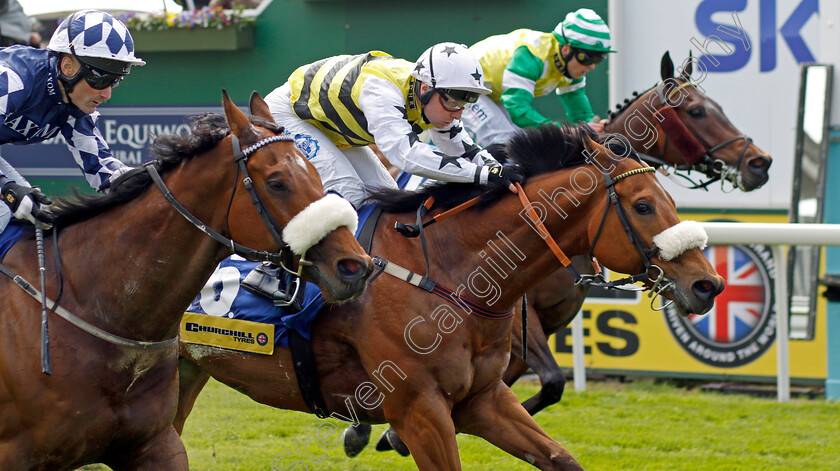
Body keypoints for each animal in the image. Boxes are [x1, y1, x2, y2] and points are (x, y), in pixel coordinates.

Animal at [176, 123, 720, 470]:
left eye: (670, 201)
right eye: (644, 206)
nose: (707, 284)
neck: (450, 273)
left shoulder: (483, 399)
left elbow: (562, 457)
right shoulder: (420, 409)